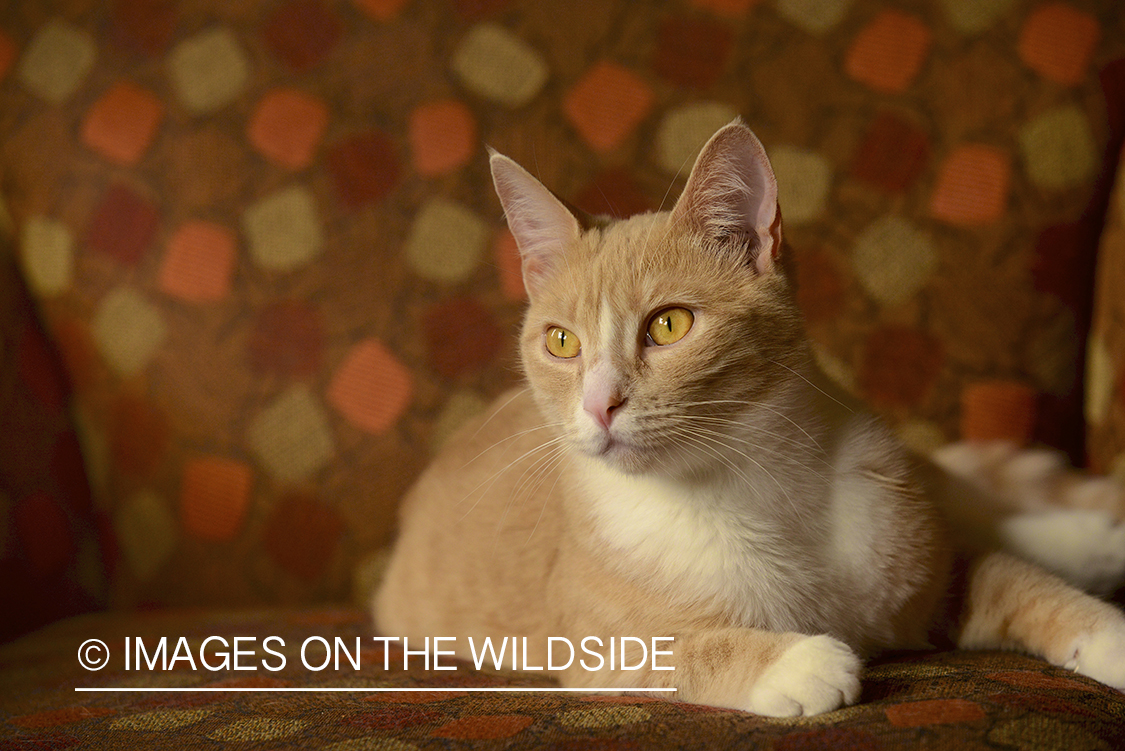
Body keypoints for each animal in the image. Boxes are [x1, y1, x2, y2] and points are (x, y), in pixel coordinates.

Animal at [378, 120, 1125, 715]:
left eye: (669, 324)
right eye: (561, 341)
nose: (599, 403)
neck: (751, 482)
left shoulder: (927, 564)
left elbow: (1013, 576)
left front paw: (1107, 631)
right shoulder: (595, 648)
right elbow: (682, 649)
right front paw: (795, 660)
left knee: (974, 503)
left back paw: (1090, 537)